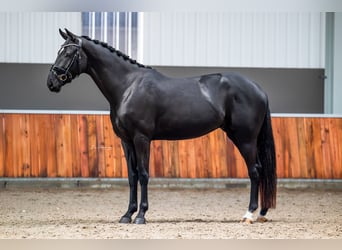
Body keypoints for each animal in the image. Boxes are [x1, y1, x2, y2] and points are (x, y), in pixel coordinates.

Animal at [48, 29, 276, 225]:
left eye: (68, 52)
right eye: (59, 51)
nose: (51, 82)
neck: (128, 86)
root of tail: (258, 89)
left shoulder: (141, 138)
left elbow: (143, 174)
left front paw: (141, 215)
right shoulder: (126, 141)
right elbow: (132, 177)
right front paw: (127, 215)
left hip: (245, 139)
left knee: (255, 171)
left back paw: (248, 215)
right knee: (261, 170)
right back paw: (262, 213)